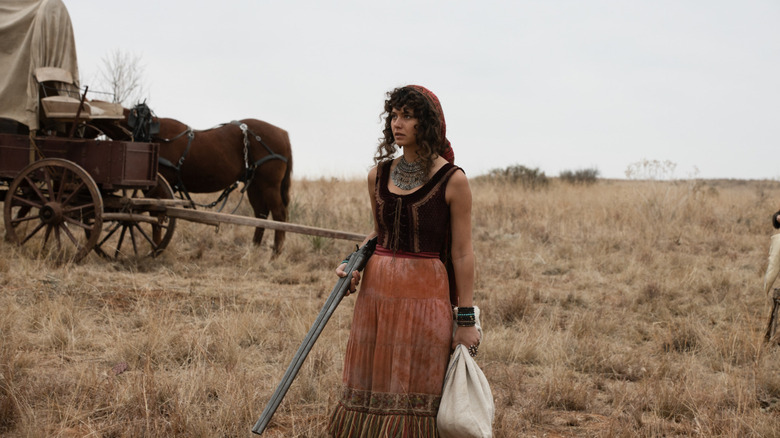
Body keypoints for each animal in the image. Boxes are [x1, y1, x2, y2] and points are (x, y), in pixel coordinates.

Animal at [98, 102, 292, 253]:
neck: (150, 133)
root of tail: (283, 133)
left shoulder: (157, 186)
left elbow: (156, 217)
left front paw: (155, 247)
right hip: (255, 186)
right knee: (261, 214)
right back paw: (254, 250)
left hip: (269, 185)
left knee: (279, 214)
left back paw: (275, 255)